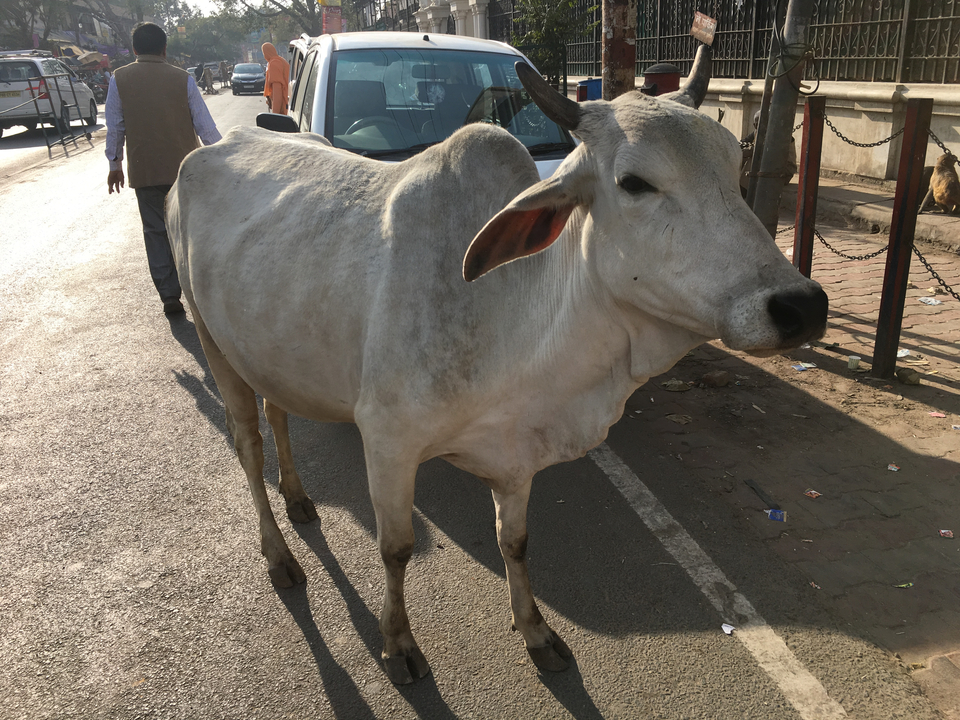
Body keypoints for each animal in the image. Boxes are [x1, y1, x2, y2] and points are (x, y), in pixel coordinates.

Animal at [166, 47, 828, 685]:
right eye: (634, 182)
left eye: (734, 167)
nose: (801, 305)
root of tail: (211, 149)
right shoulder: (387, 440)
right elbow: (396, 548)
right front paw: (398, 644)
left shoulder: (516, 453)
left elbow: (516, 541)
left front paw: (535, 631)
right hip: (212, 341)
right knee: (247, 443)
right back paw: (280, 556)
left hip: (265, 349)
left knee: (277, 410)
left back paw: (300, 498)